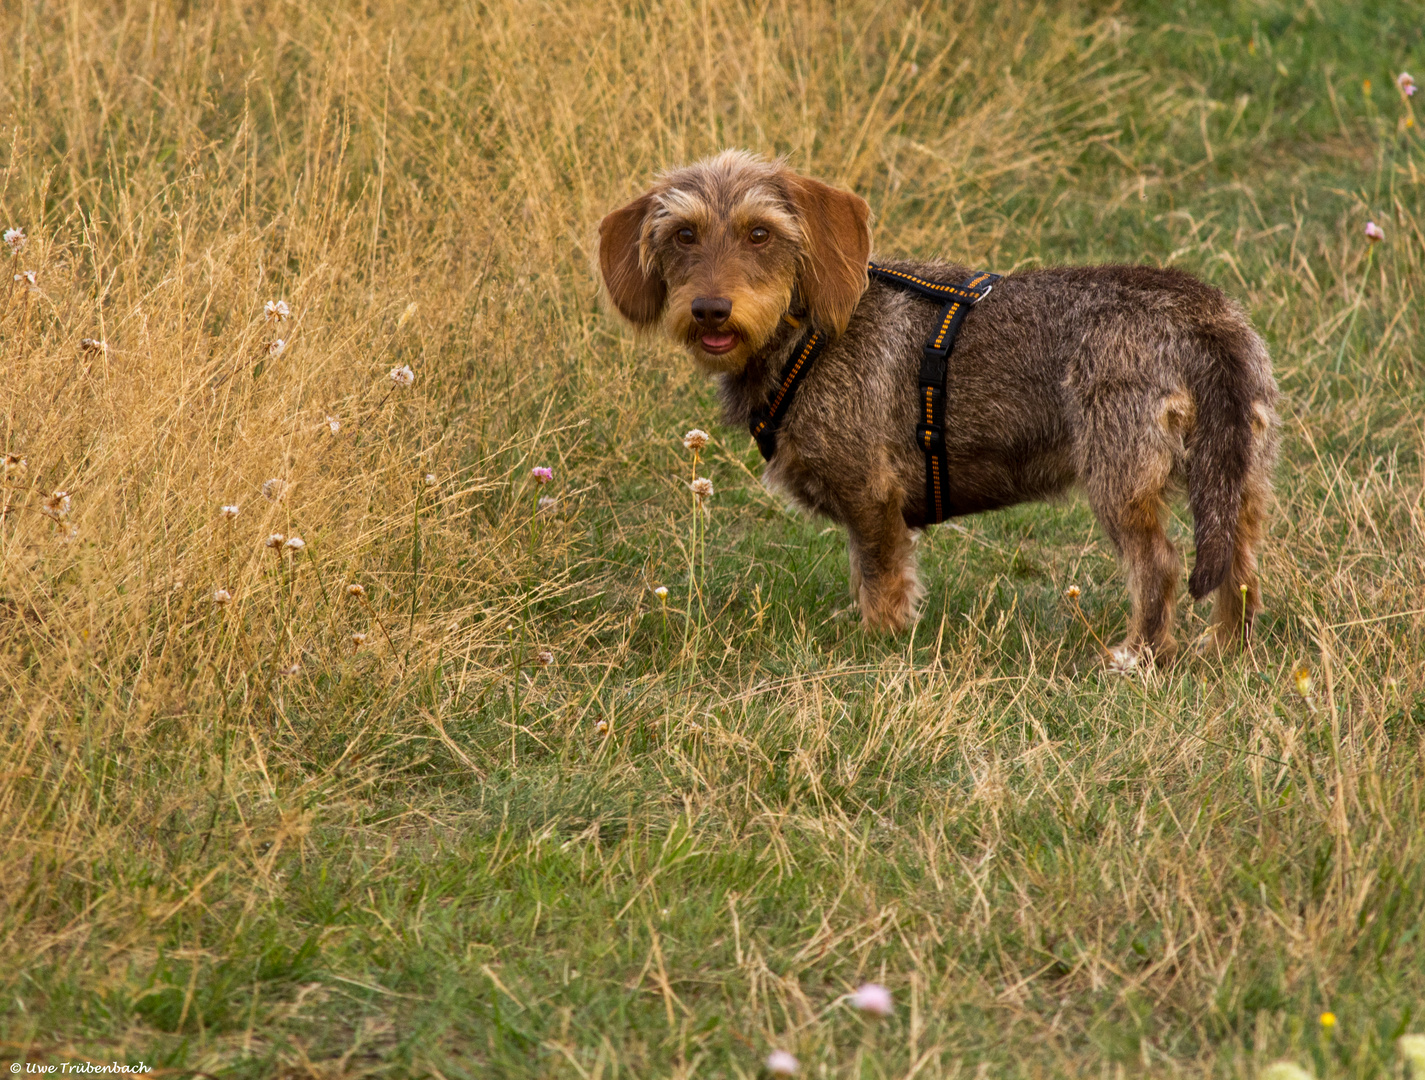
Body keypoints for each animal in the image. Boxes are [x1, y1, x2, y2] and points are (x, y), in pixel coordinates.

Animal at [595, 148, 1288, 663]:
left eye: (759, 233)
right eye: (683, 234)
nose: (710, 310)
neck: (808, 332)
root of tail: (1201, 317)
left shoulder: (871, 498)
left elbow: (880, 578)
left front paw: (877, 643)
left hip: (1121, 479)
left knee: (1160, 566)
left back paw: (1135, 656)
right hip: (1238, 479)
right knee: (1240, 568)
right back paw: (1226, 652)